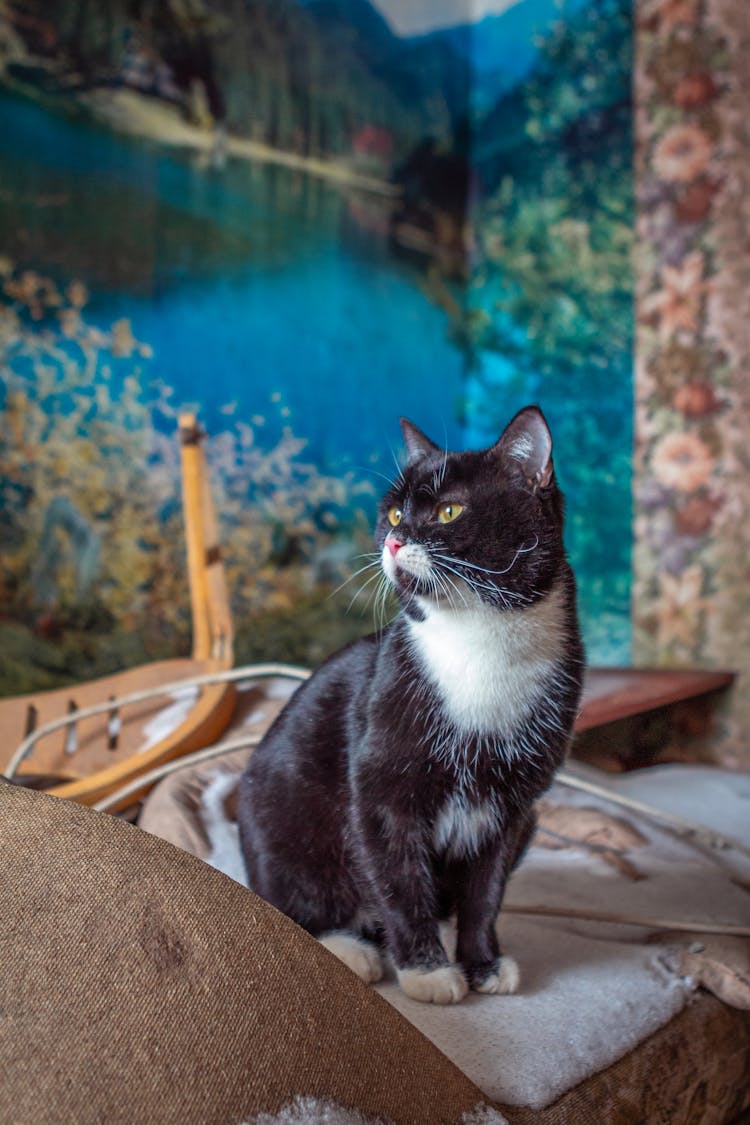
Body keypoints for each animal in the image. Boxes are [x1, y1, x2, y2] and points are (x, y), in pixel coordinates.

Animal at [237, 409, 584, 1008]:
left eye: (449, 510)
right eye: (395, 513)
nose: (396, 540)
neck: (481, 643)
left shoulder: (513, 806)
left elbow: (485, 892)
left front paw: (482, 963)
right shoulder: (381, 788)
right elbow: (398, 880)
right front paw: (427, 971)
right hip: (276, 815)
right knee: (291, 902)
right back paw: (350, 948)